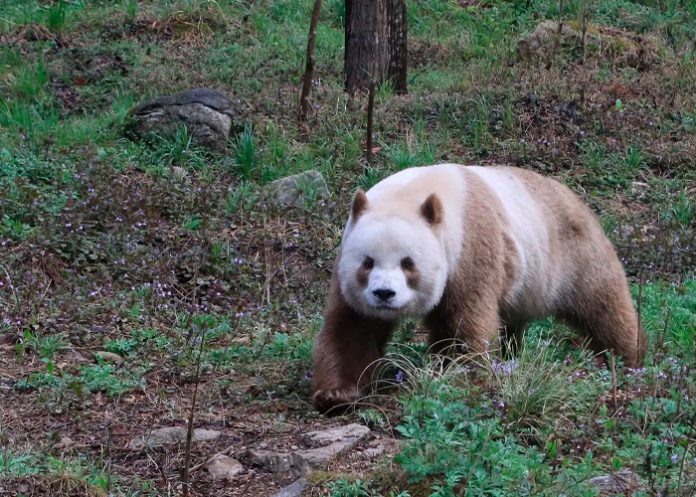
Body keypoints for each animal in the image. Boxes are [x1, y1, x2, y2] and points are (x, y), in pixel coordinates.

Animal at [312, 163, 648, 410]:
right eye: (367, 262)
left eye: (408, 263)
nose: (384, 294)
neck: (414, 193)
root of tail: (574, 196)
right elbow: (353, 327)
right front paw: (337, 395)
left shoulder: (469, 248)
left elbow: (464, 324)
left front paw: (458, 375)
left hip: (570, 254)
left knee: (603, 304)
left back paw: (629, 359)